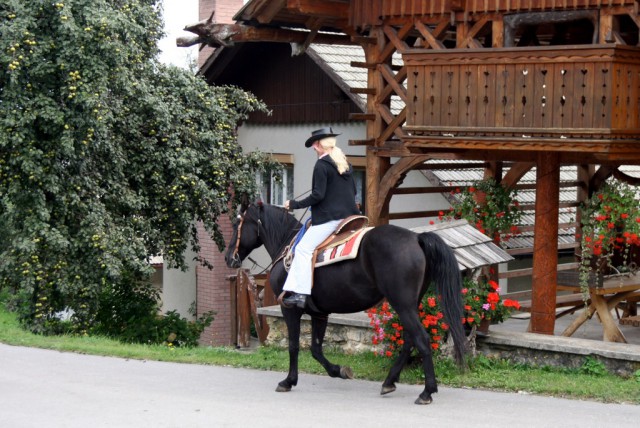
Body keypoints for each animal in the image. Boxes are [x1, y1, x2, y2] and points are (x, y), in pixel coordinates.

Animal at [225, 202, 464, 402]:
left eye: (237, 223)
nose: (228, 257)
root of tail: (416, 238)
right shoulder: (319, 313)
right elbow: (316, 348)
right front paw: (339, 371)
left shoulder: (289, 309)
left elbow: (294, 346)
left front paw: (288, 381)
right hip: (409, 305)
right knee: (409, 341)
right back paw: (389, 382)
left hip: (403, 305)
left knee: (421, 339)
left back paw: (426, 392)